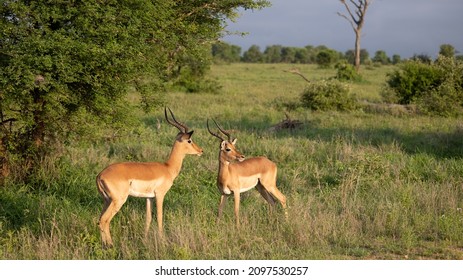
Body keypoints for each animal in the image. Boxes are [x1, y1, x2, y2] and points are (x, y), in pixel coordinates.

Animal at [96, 107, 203, 247]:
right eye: (189, 140)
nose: (201, 151)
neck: (168, 168)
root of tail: (100, 175)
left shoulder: (149, 198)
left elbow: (148, 218)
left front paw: (145, 239)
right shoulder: (160, 195)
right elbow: (159, 216)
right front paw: (162, 240)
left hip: (107, 200)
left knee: (99, 220)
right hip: (118, 201)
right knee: (104, 220)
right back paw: (110, 245)